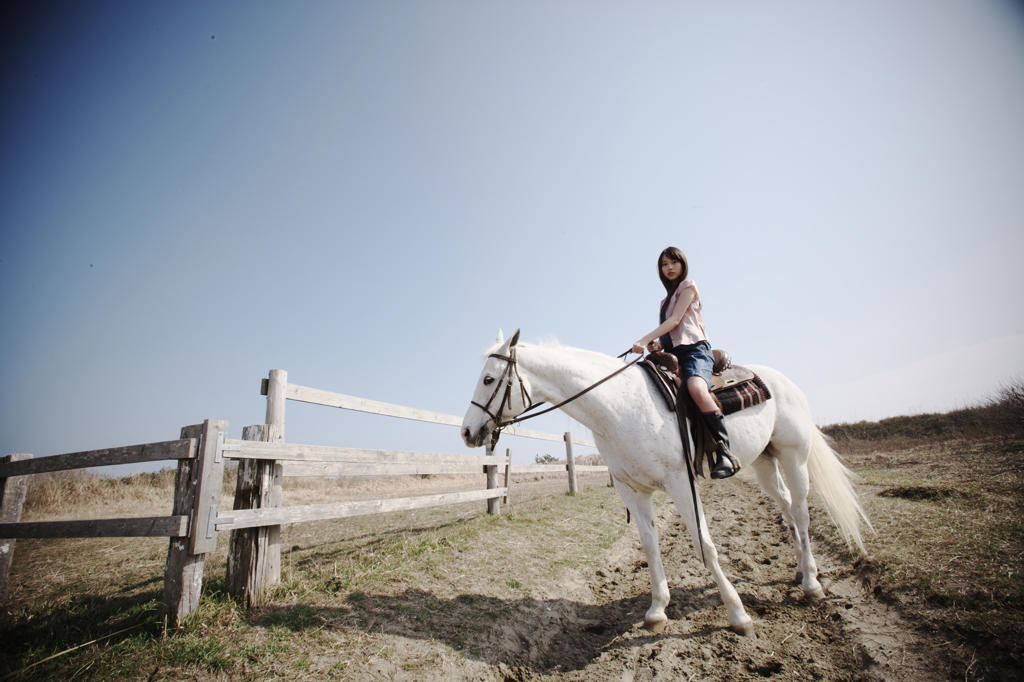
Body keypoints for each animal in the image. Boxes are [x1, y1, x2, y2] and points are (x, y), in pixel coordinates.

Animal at [464, 327, 872, 630]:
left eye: (488, 378)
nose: (468, 432)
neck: (619, 405)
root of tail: (784, 382)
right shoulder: (632, 490)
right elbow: (649, 544)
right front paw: (657, 609)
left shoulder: (680, 483)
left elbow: (705, 545)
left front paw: (738, 614)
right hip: (763, 463)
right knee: (786, 507)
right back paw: (800, 569)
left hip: (793, 455)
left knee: (801, 512)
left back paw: (812, 583)